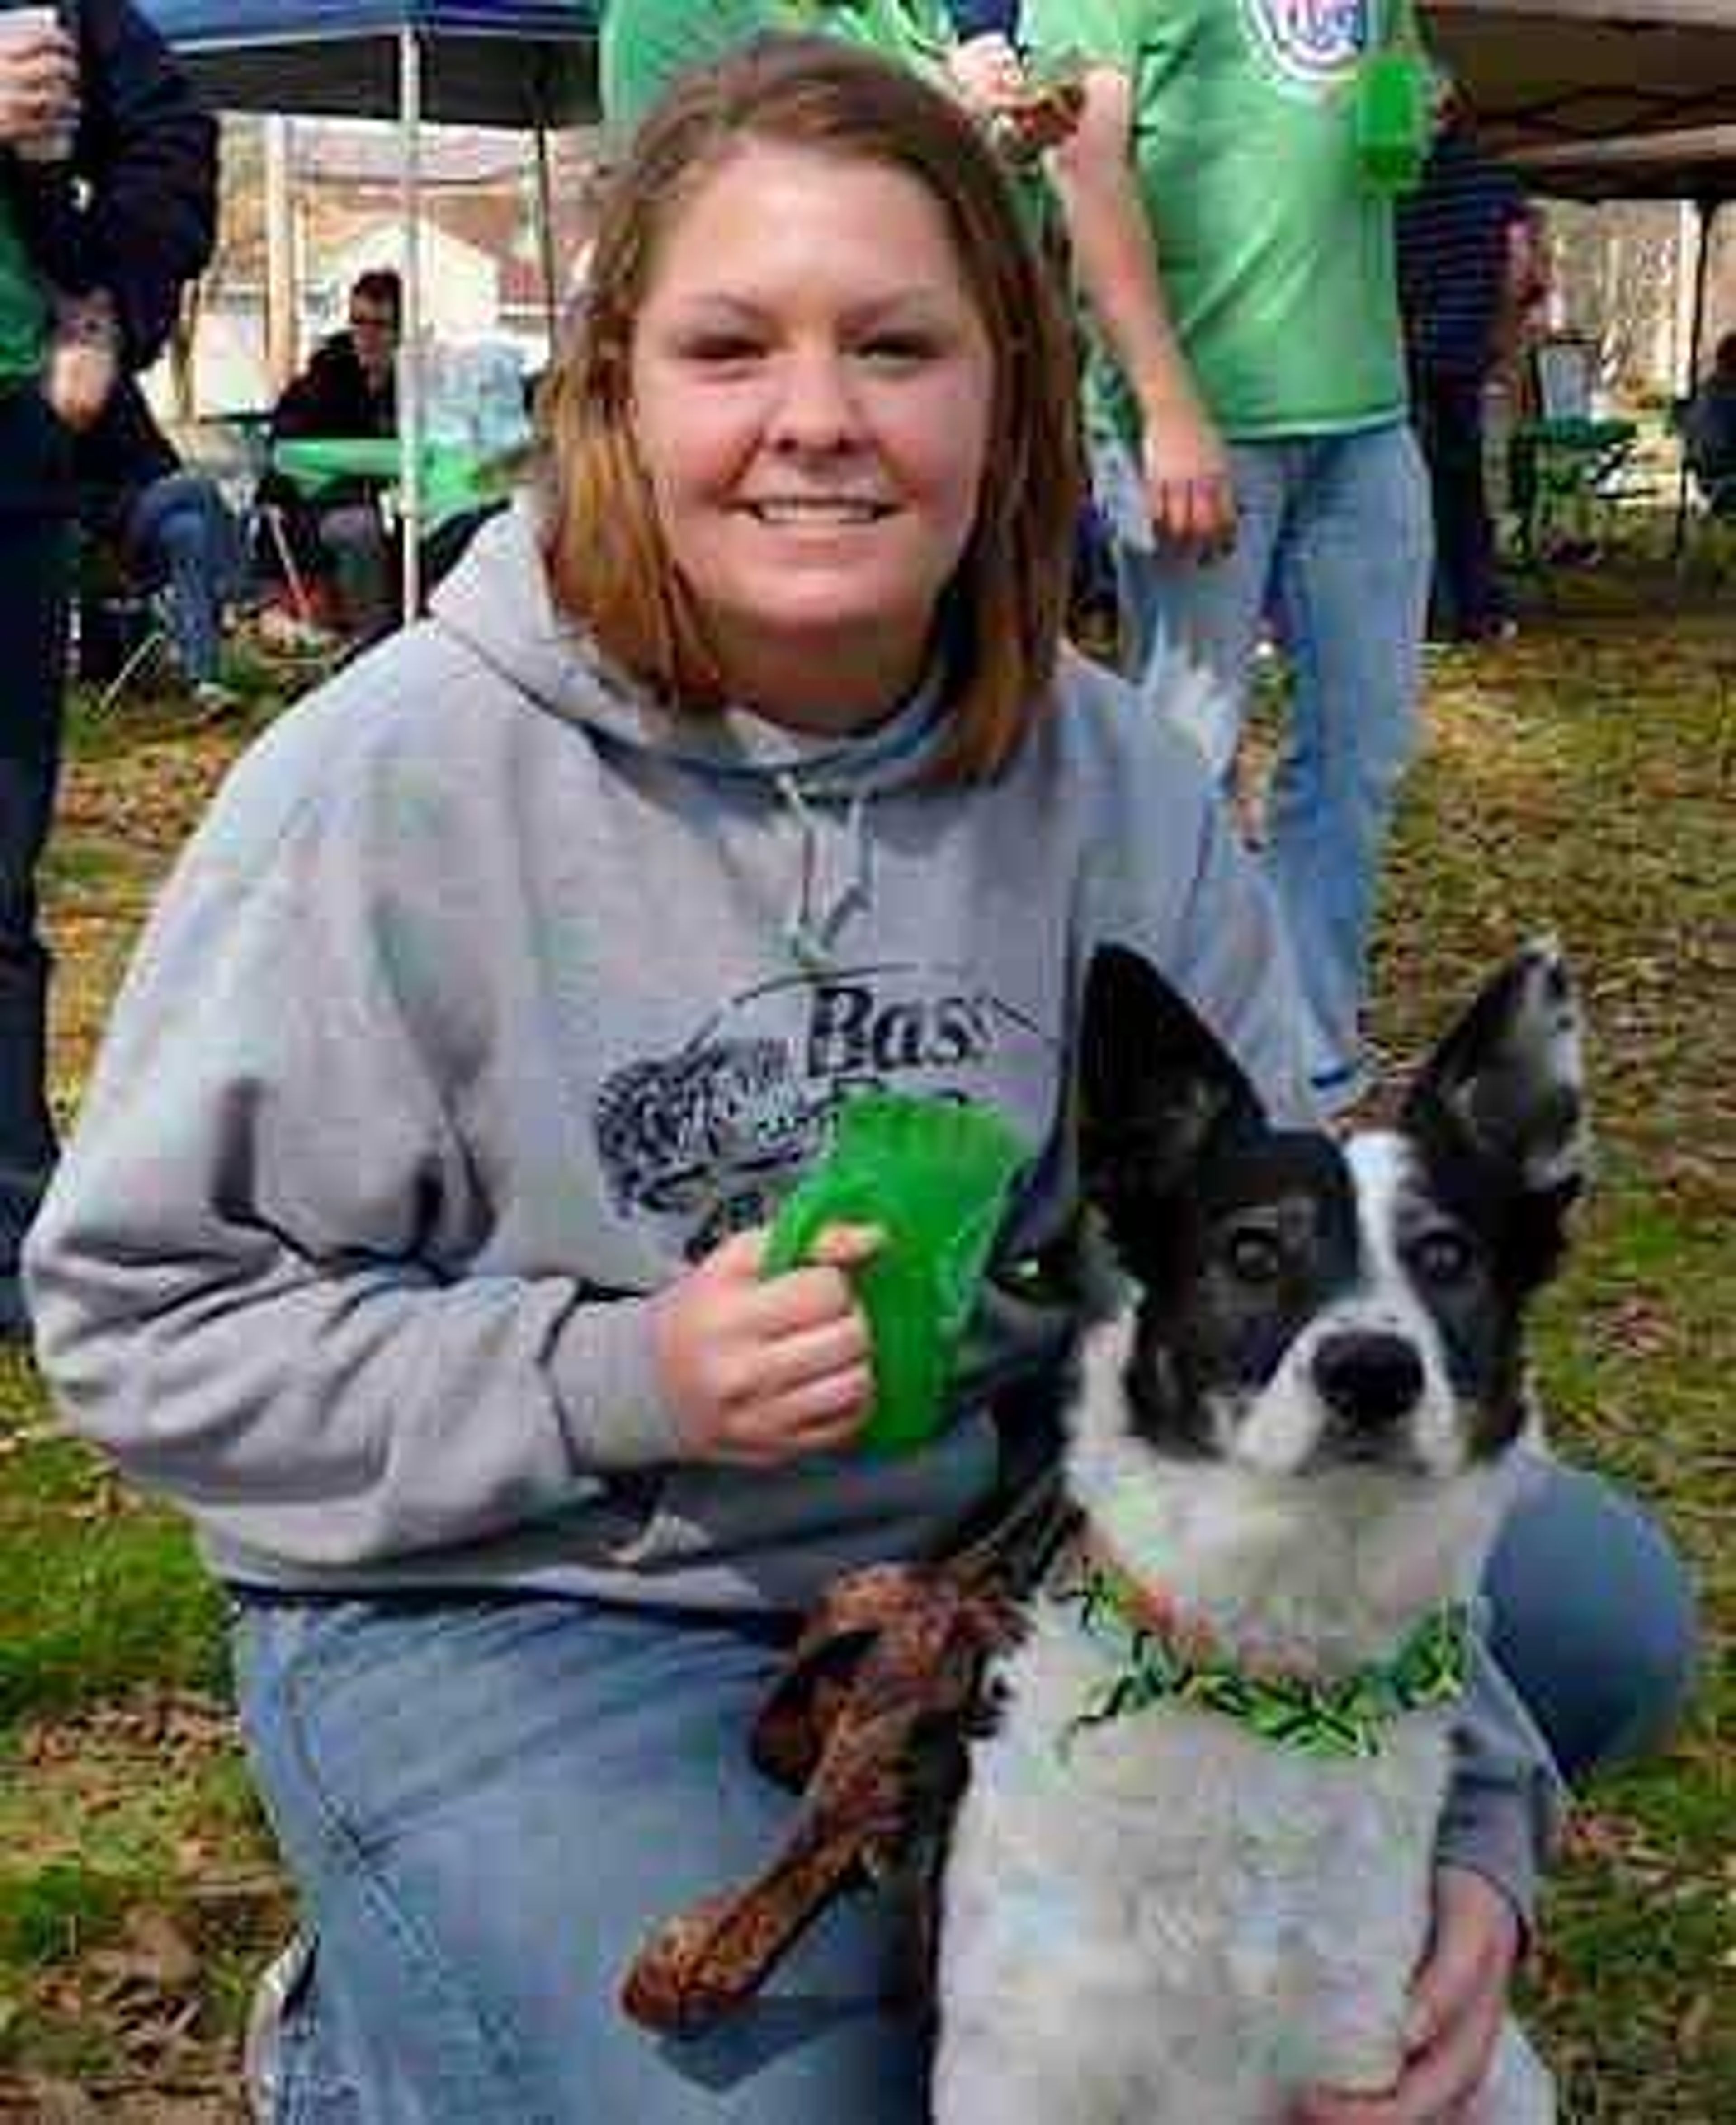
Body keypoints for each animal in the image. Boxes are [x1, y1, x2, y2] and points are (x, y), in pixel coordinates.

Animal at [935, 947, 1580, 2125]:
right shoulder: (1026, 2061)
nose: (1371, 1372)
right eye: (1250, 1250)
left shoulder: (1359, 2059)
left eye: (1446, 1255)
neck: (1269, 1665)